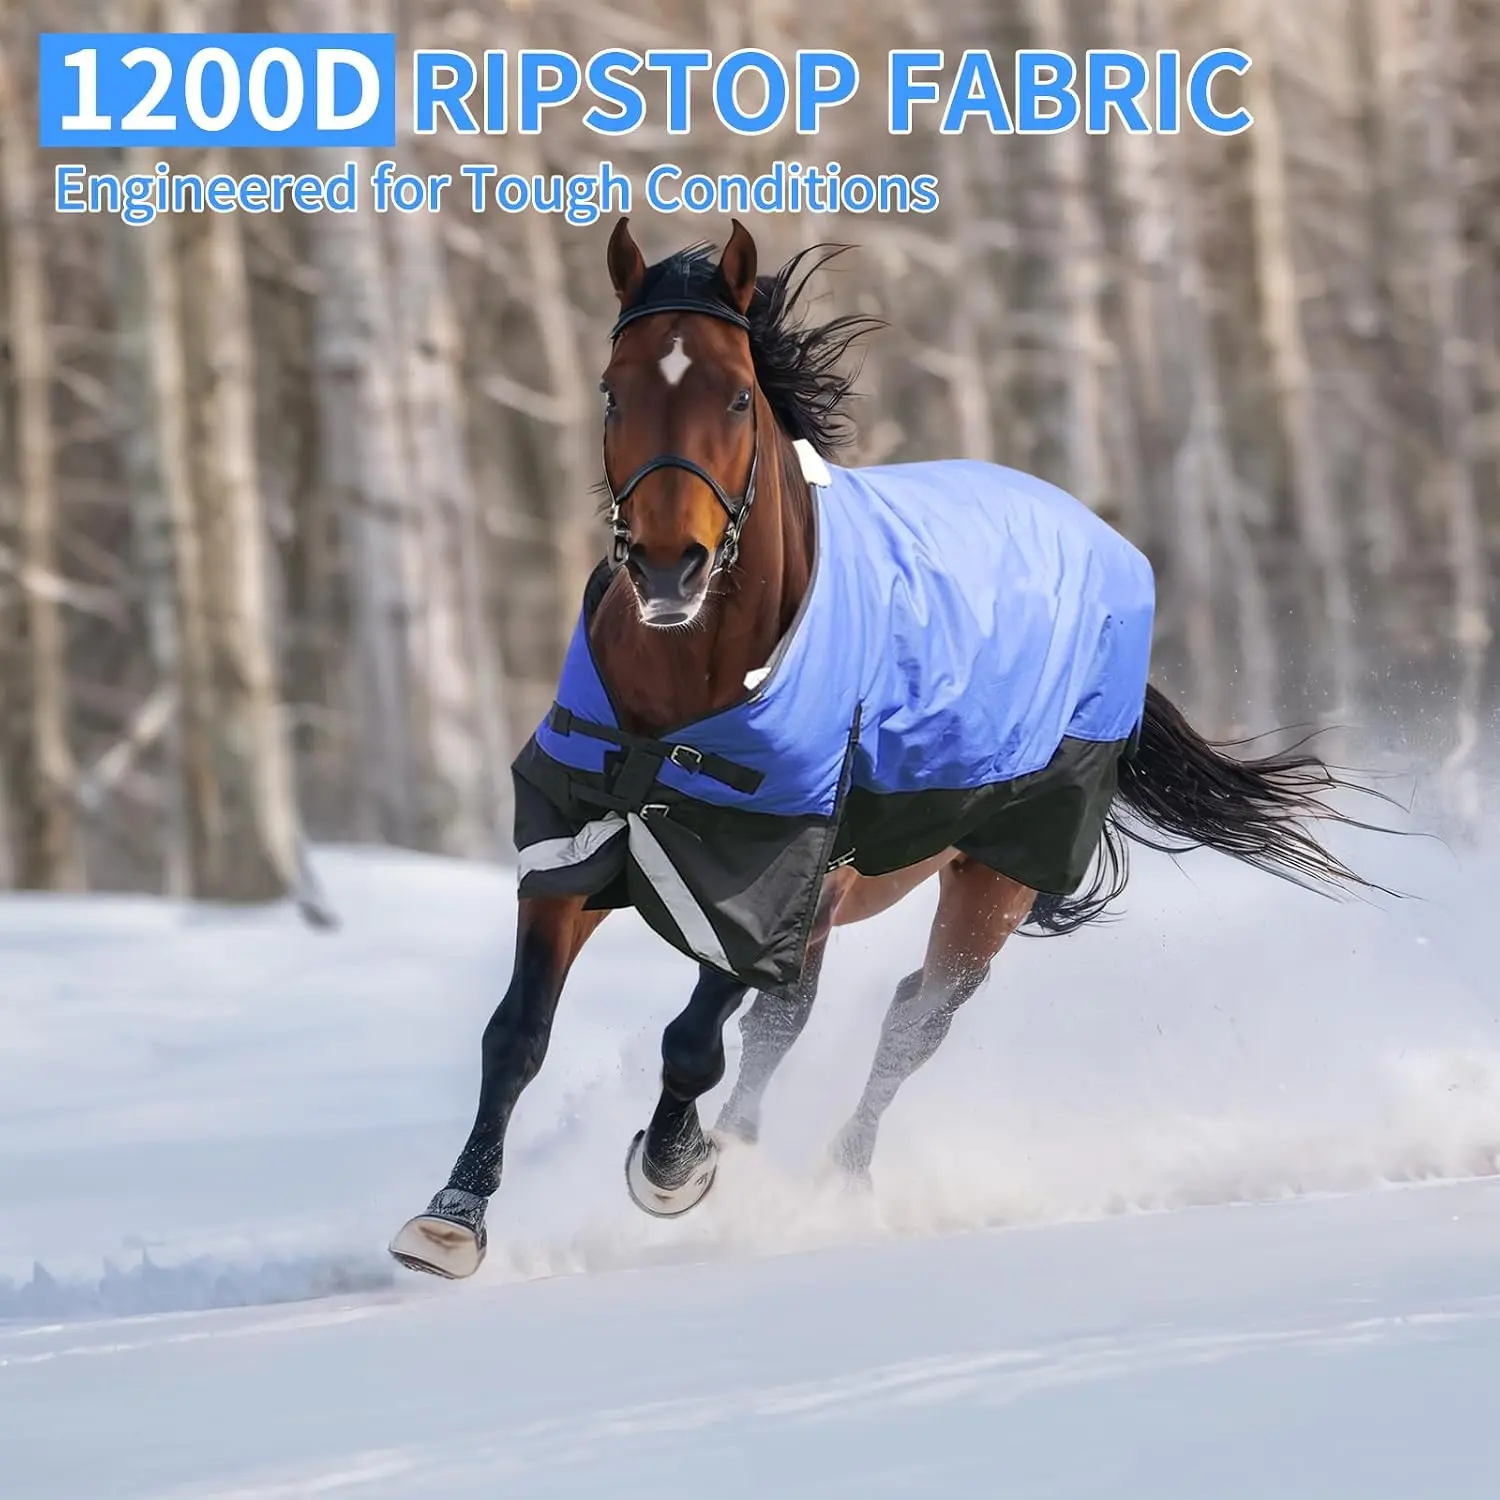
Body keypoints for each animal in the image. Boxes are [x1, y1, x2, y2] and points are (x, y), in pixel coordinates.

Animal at [389, 219, 1375, 1279]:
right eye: (613, 389)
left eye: (736, 394)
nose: (667, 568)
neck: (688, 694)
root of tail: (1106, 546)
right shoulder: (579, 844)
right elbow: (518, 1032)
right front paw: (452, 1218)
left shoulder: (767, 874)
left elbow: (695, 1037)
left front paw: (672, 1167)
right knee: (793, 1024)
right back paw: (750, 1154)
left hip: (994, 879)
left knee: (912, 1020)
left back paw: (833, 1180)